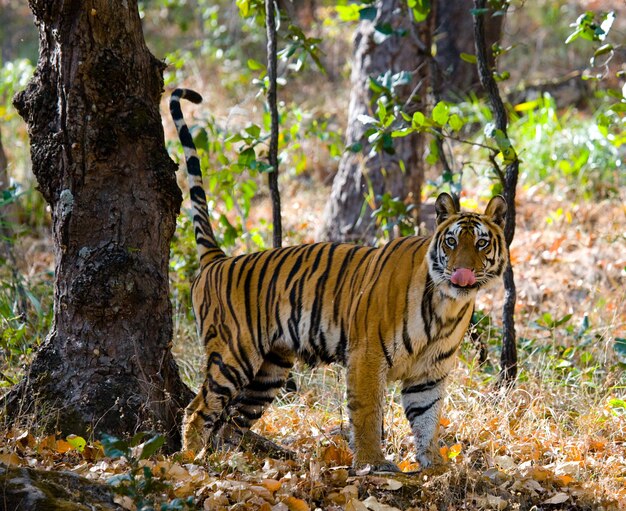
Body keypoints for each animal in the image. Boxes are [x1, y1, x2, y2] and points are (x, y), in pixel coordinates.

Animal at [169, 87, 508, 472]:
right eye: (451, 242)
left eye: (481, 243)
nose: (462, 271)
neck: (447, 306)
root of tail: (218, 259)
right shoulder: (367, 354)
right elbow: (367, 412)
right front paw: (373, 463)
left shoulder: (429, 374)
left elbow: (427, 419)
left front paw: (434, 466)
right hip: (233, 353)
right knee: (198, 409)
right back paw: (190, 462)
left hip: (269, 371)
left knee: (232, 422)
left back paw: (230, 465)